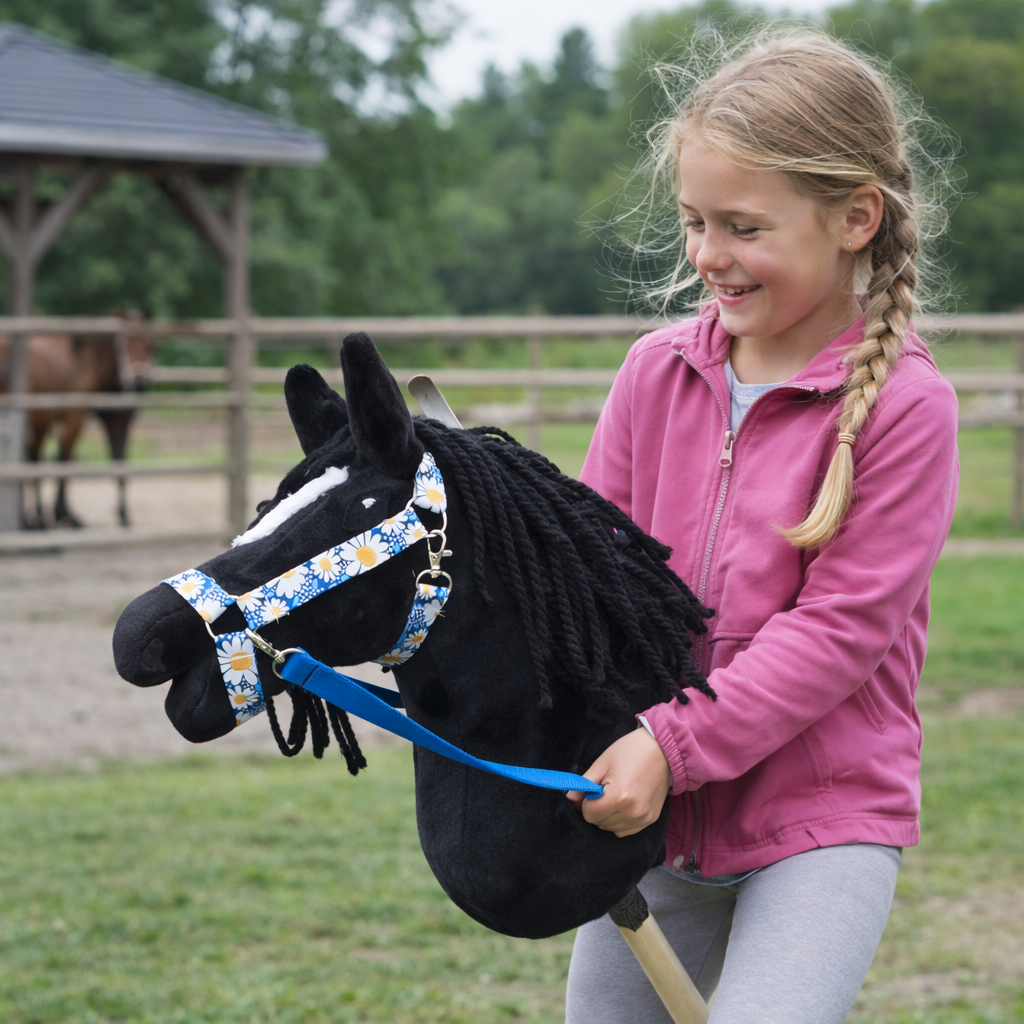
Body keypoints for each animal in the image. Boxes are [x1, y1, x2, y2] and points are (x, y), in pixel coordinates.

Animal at [0, 319, 154, 528]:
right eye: (121, 346)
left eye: (150, 346)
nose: (138, 384)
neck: (84, 361)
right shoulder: (74, 416)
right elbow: (63, 458)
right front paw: (63, 515)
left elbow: (117, 458)